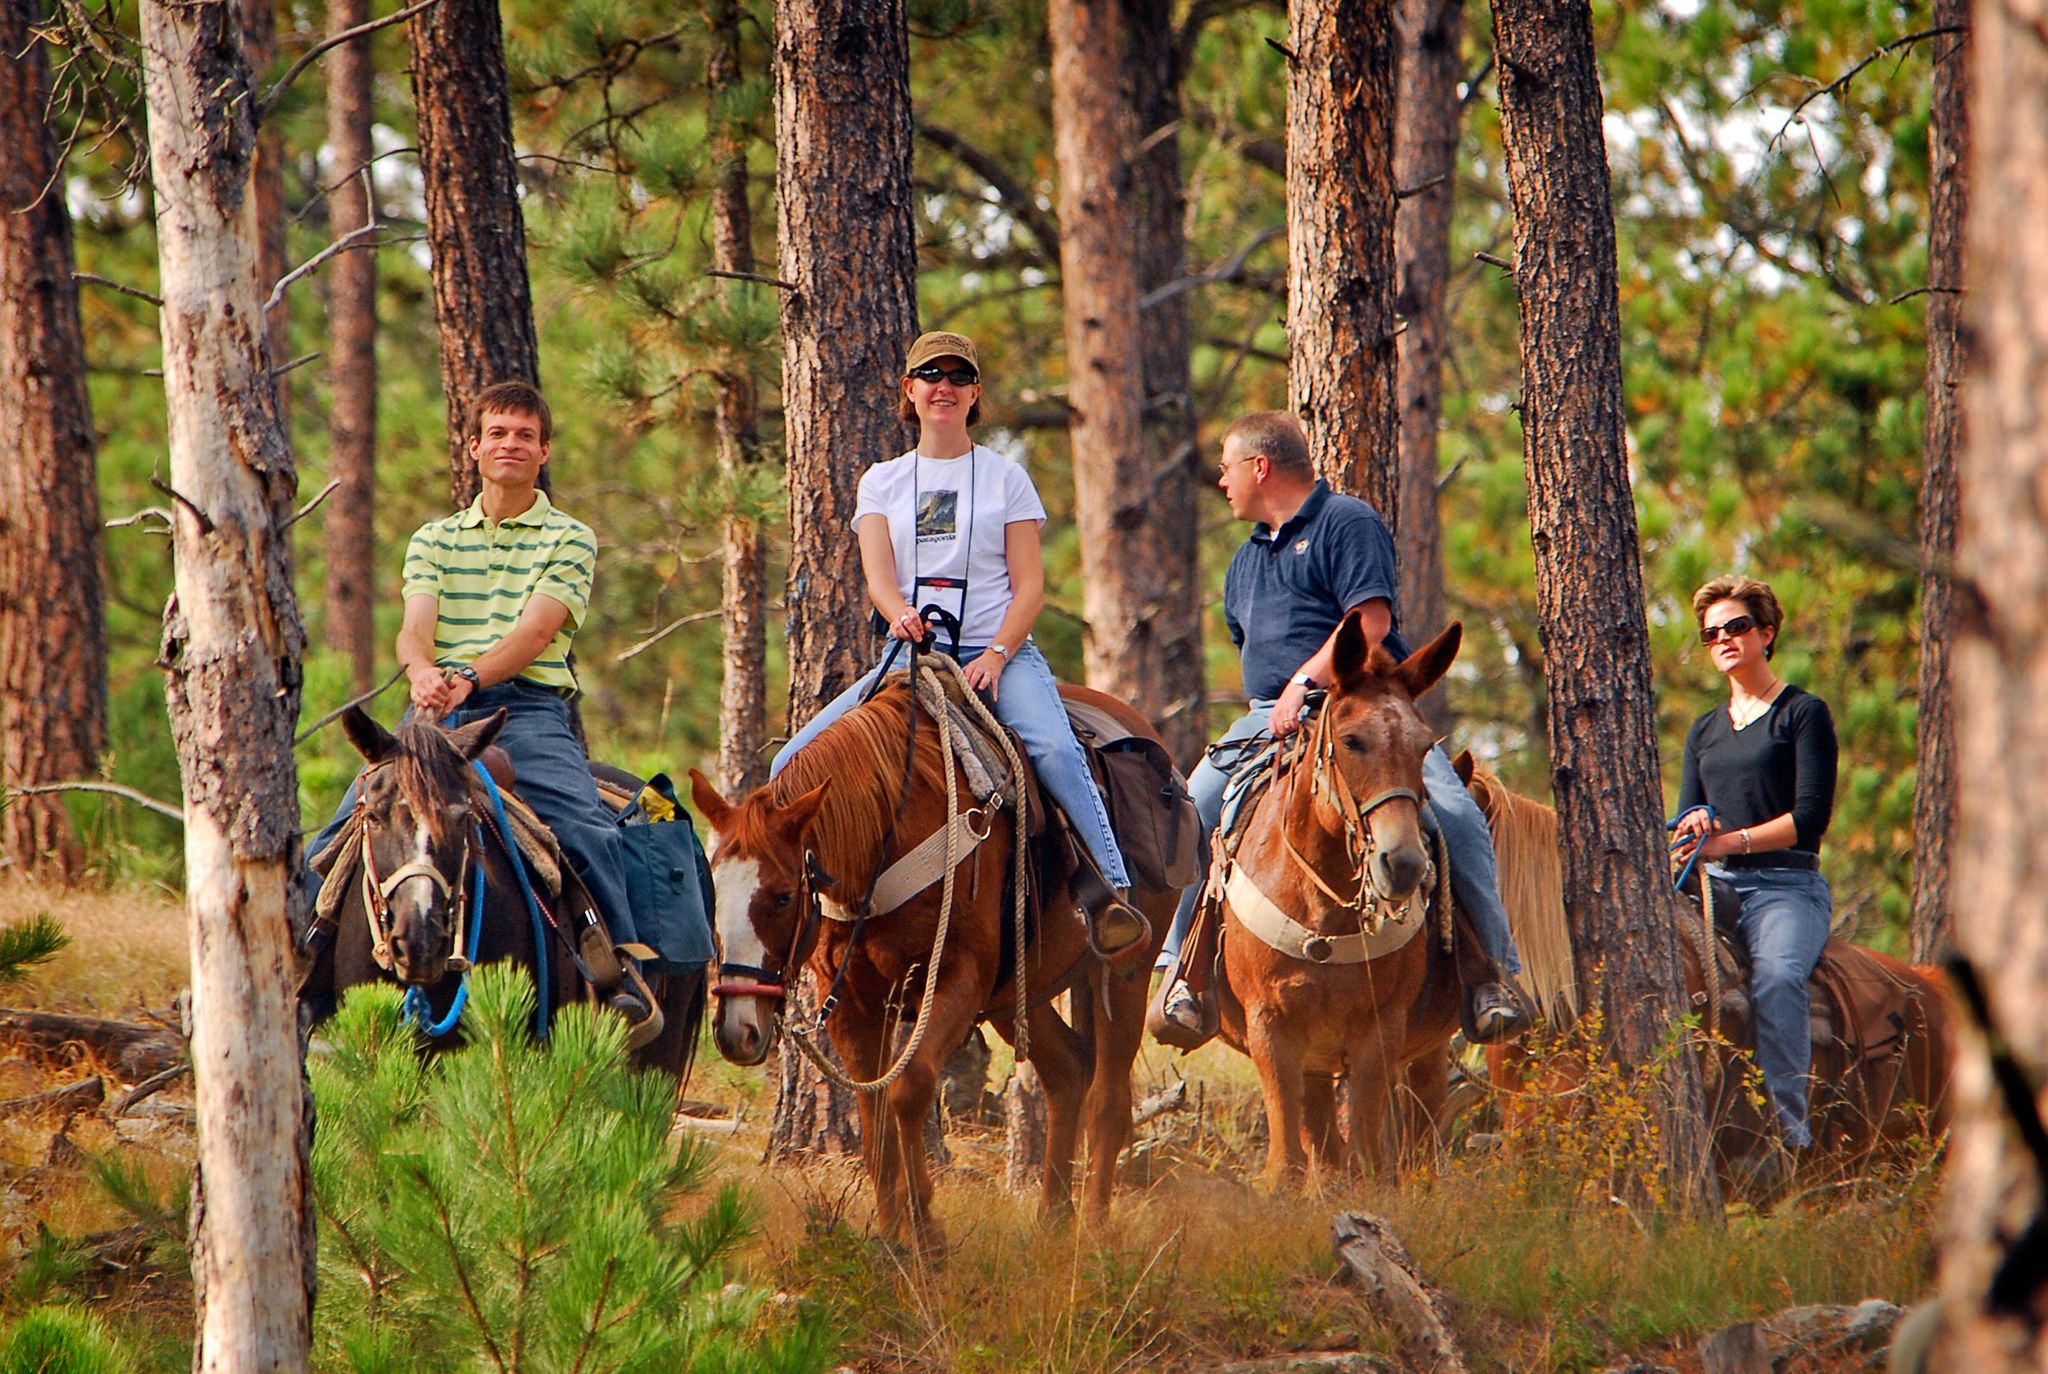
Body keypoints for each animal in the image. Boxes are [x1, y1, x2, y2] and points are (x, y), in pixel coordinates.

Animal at [688, 675, 1179, 1244]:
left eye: (784, 896)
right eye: (712, 890)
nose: (736, 1031)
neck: (887, 834)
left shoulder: (957, 980)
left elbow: (910, 1089)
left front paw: (925, 1229)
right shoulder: (852, 998)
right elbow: (874, 1113)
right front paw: (890, 1235)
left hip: (1125, 972)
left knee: (1108, 1099)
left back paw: (1094, 1230)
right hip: (1017, 995)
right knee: (1068, 1072)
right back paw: (1054, 1217)